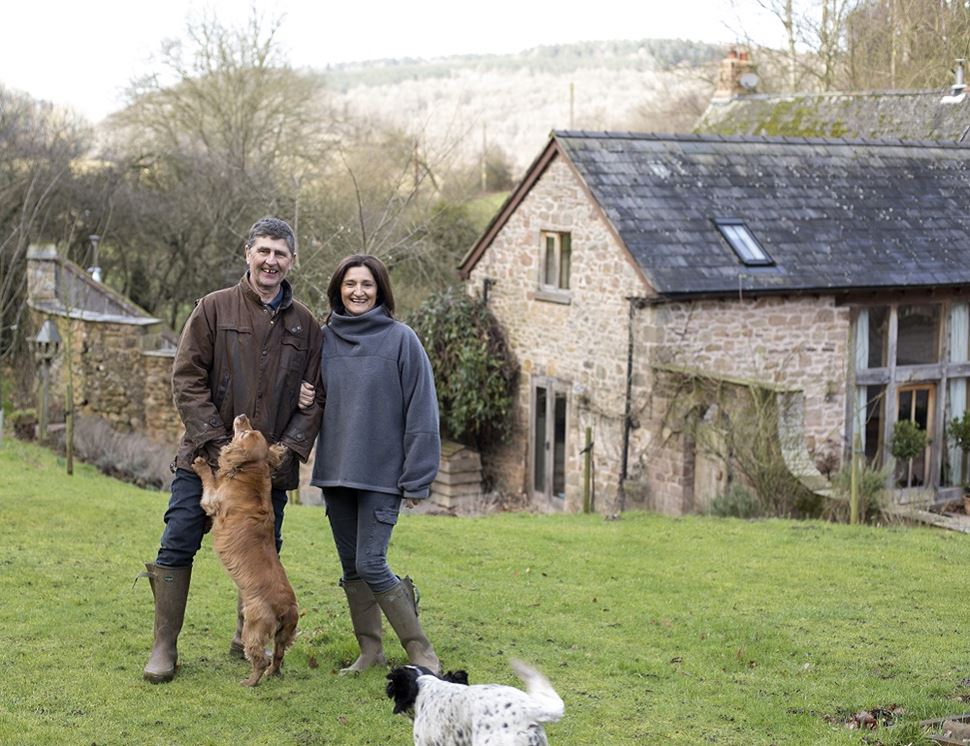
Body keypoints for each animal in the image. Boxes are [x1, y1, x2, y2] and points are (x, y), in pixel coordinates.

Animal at [189, 412, 294, 684]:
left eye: (245, 433)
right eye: (250, 428)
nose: (243, 416)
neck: (252, 474)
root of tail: (288, 608)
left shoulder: (213, 499)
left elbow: (209, 481)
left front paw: (201, 464)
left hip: (254, 628)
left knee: (259, 658)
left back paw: (250, 682)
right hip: (283, 635)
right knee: (278, 656)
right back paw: (271, 674)